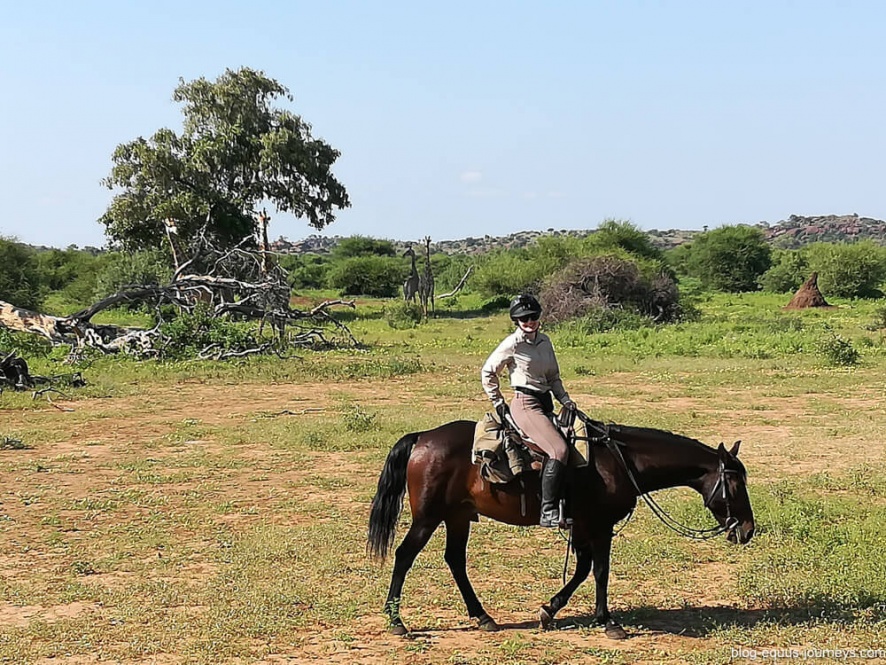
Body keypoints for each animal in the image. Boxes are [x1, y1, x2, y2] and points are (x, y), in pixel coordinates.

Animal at [368, 418, 756, 636]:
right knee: (404, 555)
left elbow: (583, 569)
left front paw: (549, 610)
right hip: (428, 517)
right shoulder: (599, 525)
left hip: (458, 516)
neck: (619, 462)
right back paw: (396, 621)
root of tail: (422, 437)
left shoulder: (582, 525)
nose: (748, 529)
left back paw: (482, 616)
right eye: (735, 482)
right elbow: (599, 570)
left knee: (455, 561)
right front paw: (607, 622)